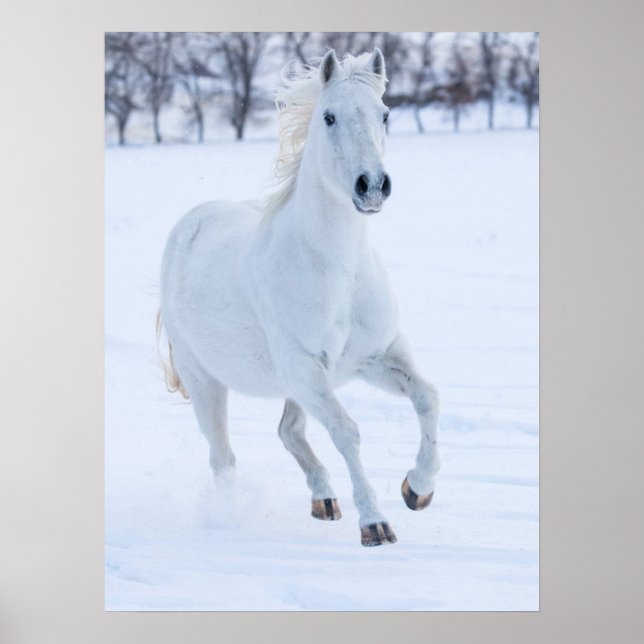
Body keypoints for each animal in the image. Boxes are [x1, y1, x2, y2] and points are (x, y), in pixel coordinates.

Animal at [158, 48, 440, 547]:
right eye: (328, 116)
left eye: (385, 113)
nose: (372, 185)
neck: (339, 273)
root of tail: (190, 223)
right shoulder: (307, 369)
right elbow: (346, 432)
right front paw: (375, 524)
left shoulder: (376, 357)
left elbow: (428, 398)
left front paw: (417, 489)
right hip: (206, 380)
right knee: (223, 458)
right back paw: (229, 518)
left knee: (288, 431)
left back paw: (324, 500)